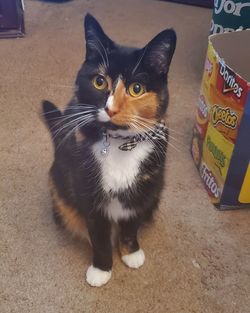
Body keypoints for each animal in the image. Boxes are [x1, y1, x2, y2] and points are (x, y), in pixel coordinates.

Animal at [42, 13, 176, 286]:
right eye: (99, 81)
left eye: (137, 88)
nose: (111, 109)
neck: (119, 143)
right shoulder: (87, 190)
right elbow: (99, 235)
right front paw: (101, 269)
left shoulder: (142, 190)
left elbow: (131, 224)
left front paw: (131, 253)